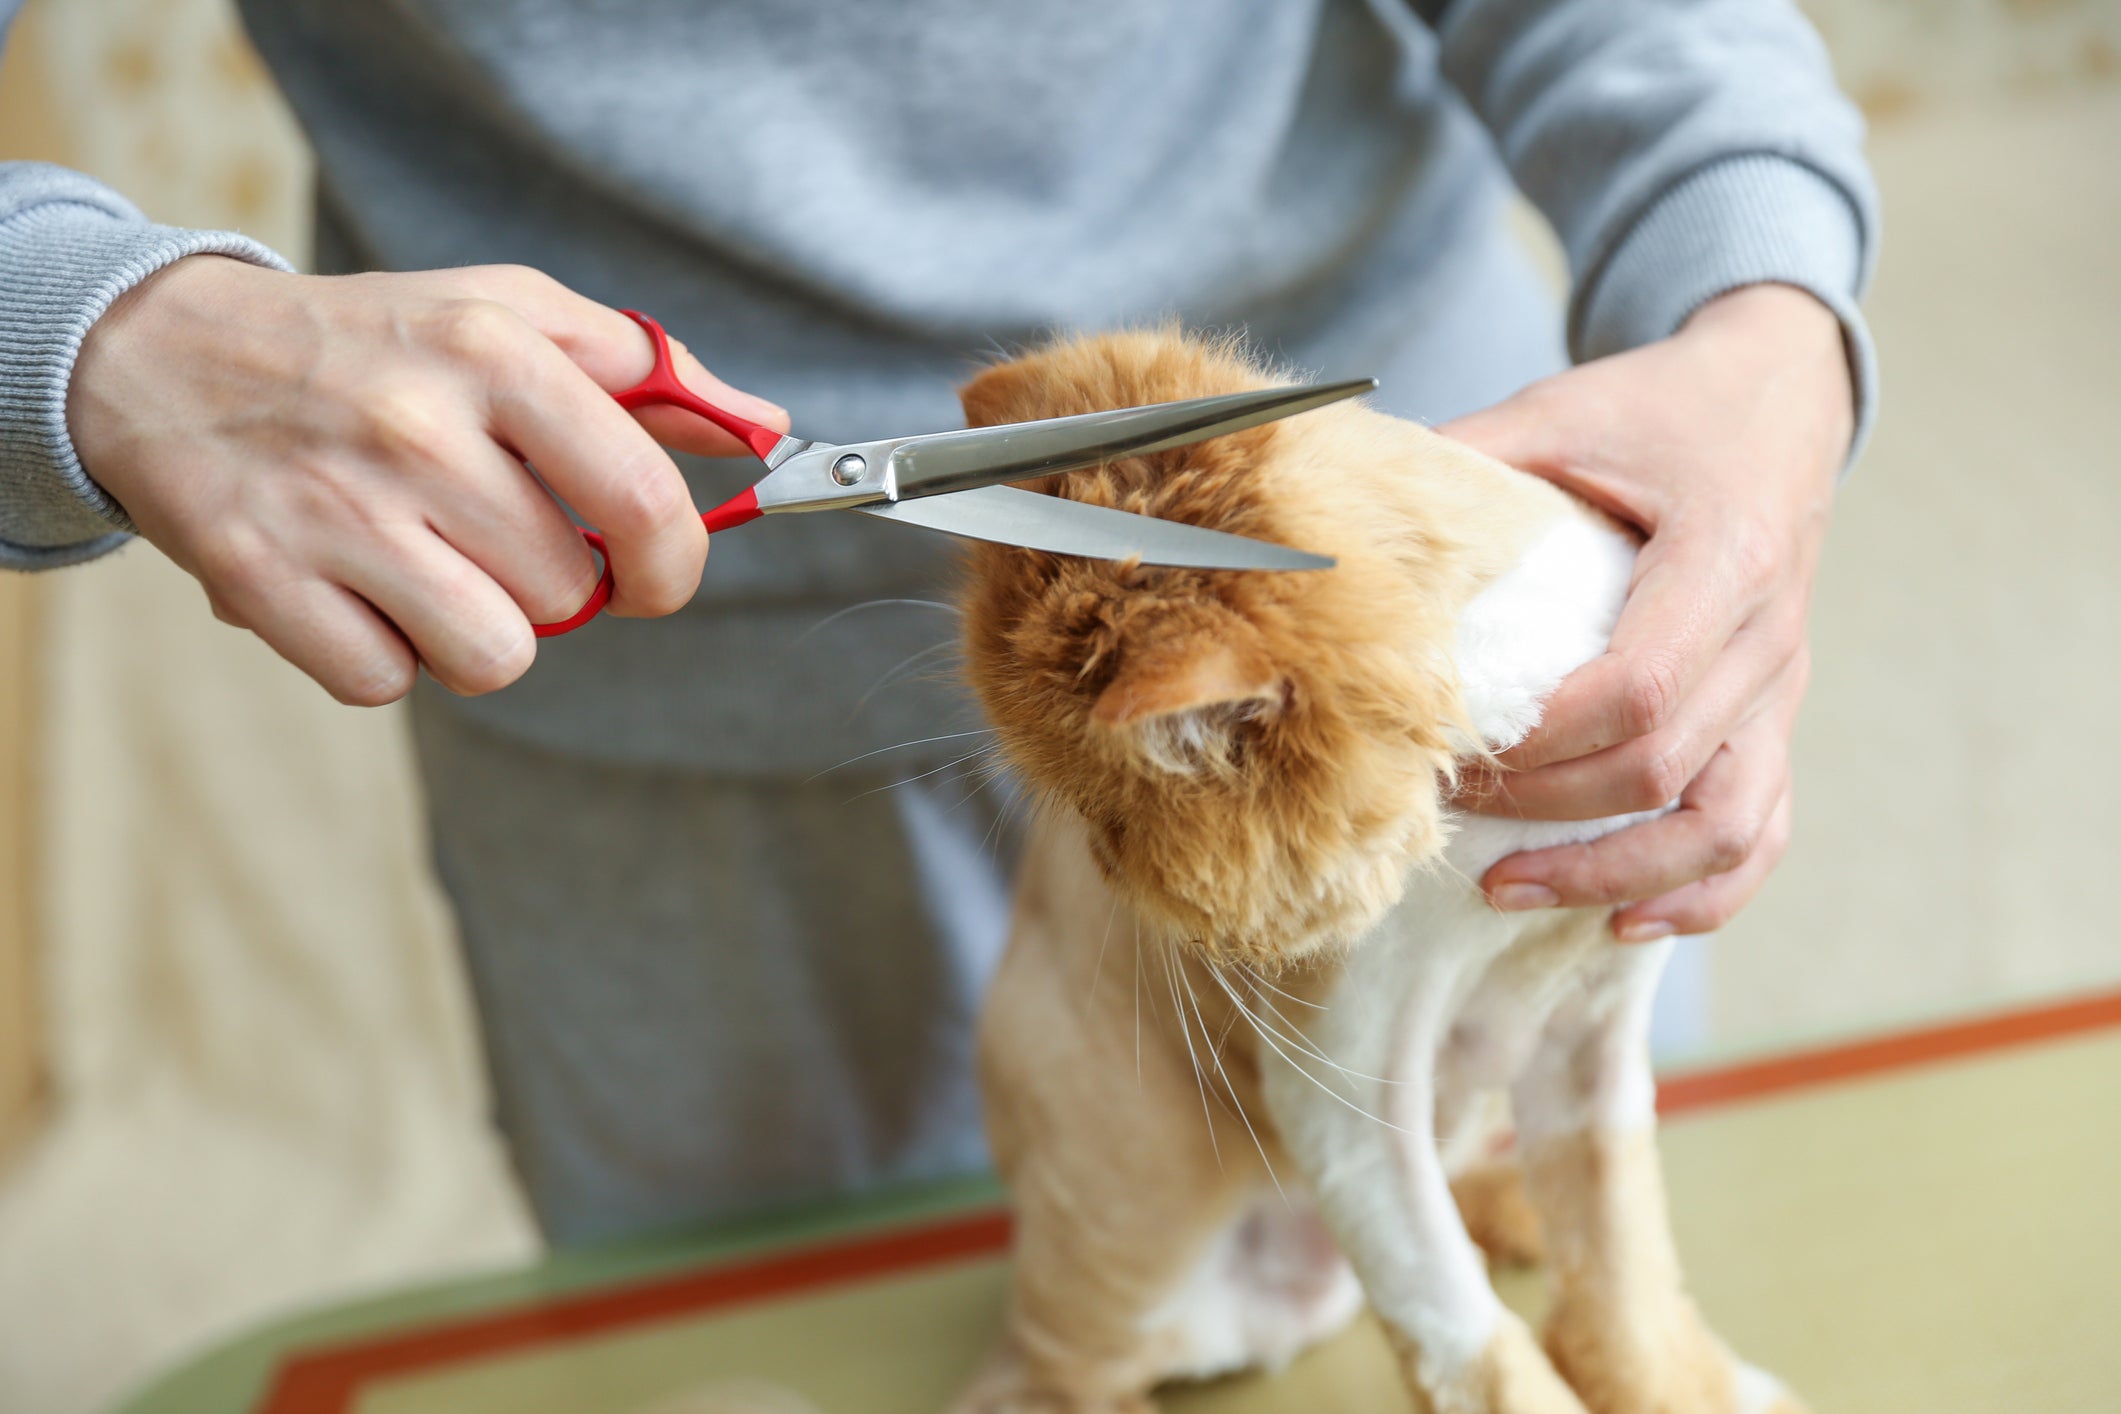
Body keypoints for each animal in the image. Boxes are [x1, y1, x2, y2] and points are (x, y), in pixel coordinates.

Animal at [954, 334, 1798, 1414]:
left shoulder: (1593, 1031)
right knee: (1043, 1378)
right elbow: (1468, 1337)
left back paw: (1507, 1206)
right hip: (1137, 1262)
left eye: (1107, 815)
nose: (1100, 867)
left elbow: (1623, 1275)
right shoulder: (1344, 1098)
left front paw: (1690, 1385)